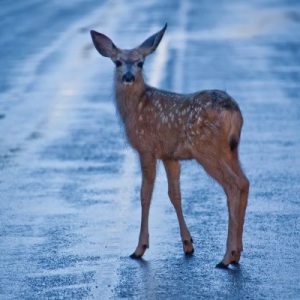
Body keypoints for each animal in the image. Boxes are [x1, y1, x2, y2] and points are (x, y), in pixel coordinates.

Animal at [90, 22, 250, 268]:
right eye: (117, 62)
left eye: (140, 62)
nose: (128, 76)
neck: (135, 109)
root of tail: (233, 110)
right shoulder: (169, 155)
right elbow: (174, 194)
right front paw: (188, 244)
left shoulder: (147, 147)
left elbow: (145, 194)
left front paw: (139, 248)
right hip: (232, 149)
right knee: (245, 182)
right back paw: (237, 254)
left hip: (207, 148)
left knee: (234, 185)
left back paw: (226, 257)